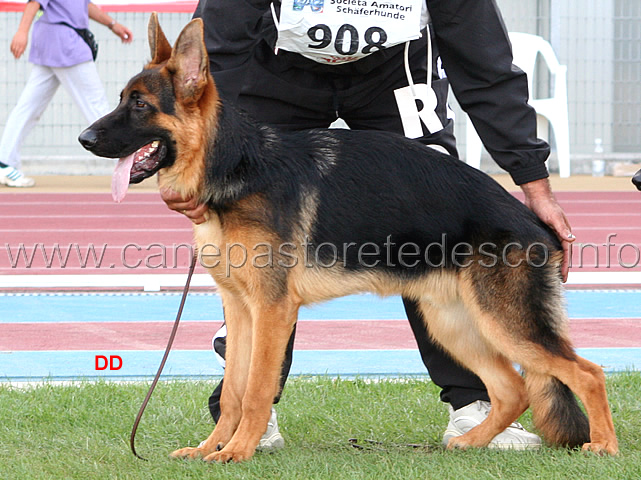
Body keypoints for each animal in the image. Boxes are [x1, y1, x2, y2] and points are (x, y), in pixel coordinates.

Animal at [77, 15, 616, 464]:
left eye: (139, 105)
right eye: (123, 99)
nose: (84, 139)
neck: (234, 167)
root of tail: (535, 222)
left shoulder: (273, 310)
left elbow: (255, 390)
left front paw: (237, 452)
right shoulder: (241, 309)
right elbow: (233, 391)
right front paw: (213, 447)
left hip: (504, 323)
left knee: (586, 372)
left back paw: (604, 447)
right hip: (453, 324)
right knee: (513, 390)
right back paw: (472, 441)